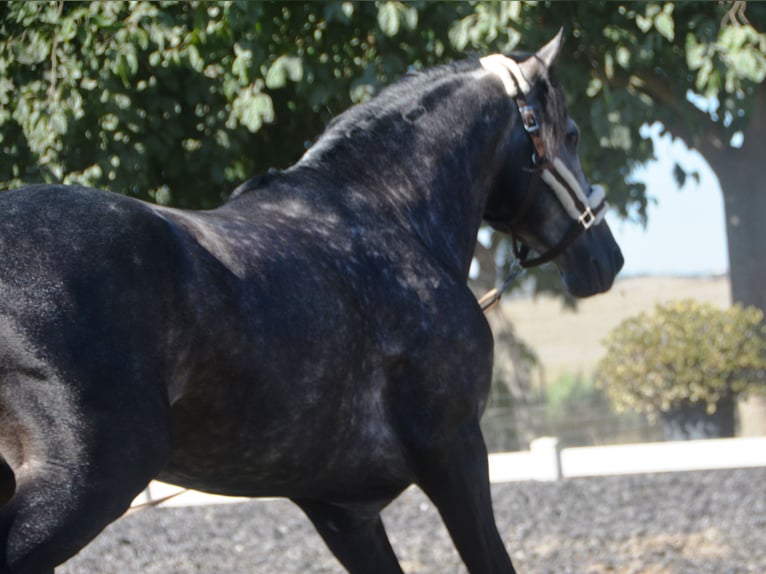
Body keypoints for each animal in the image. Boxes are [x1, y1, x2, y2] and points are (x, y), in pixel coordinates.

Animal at [0, 32, 624, 574]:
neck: (386, 212)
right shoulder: (455, 450)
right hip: (89, 482)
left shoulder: (340, 510)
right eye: (570, 133)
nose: (607, 258)